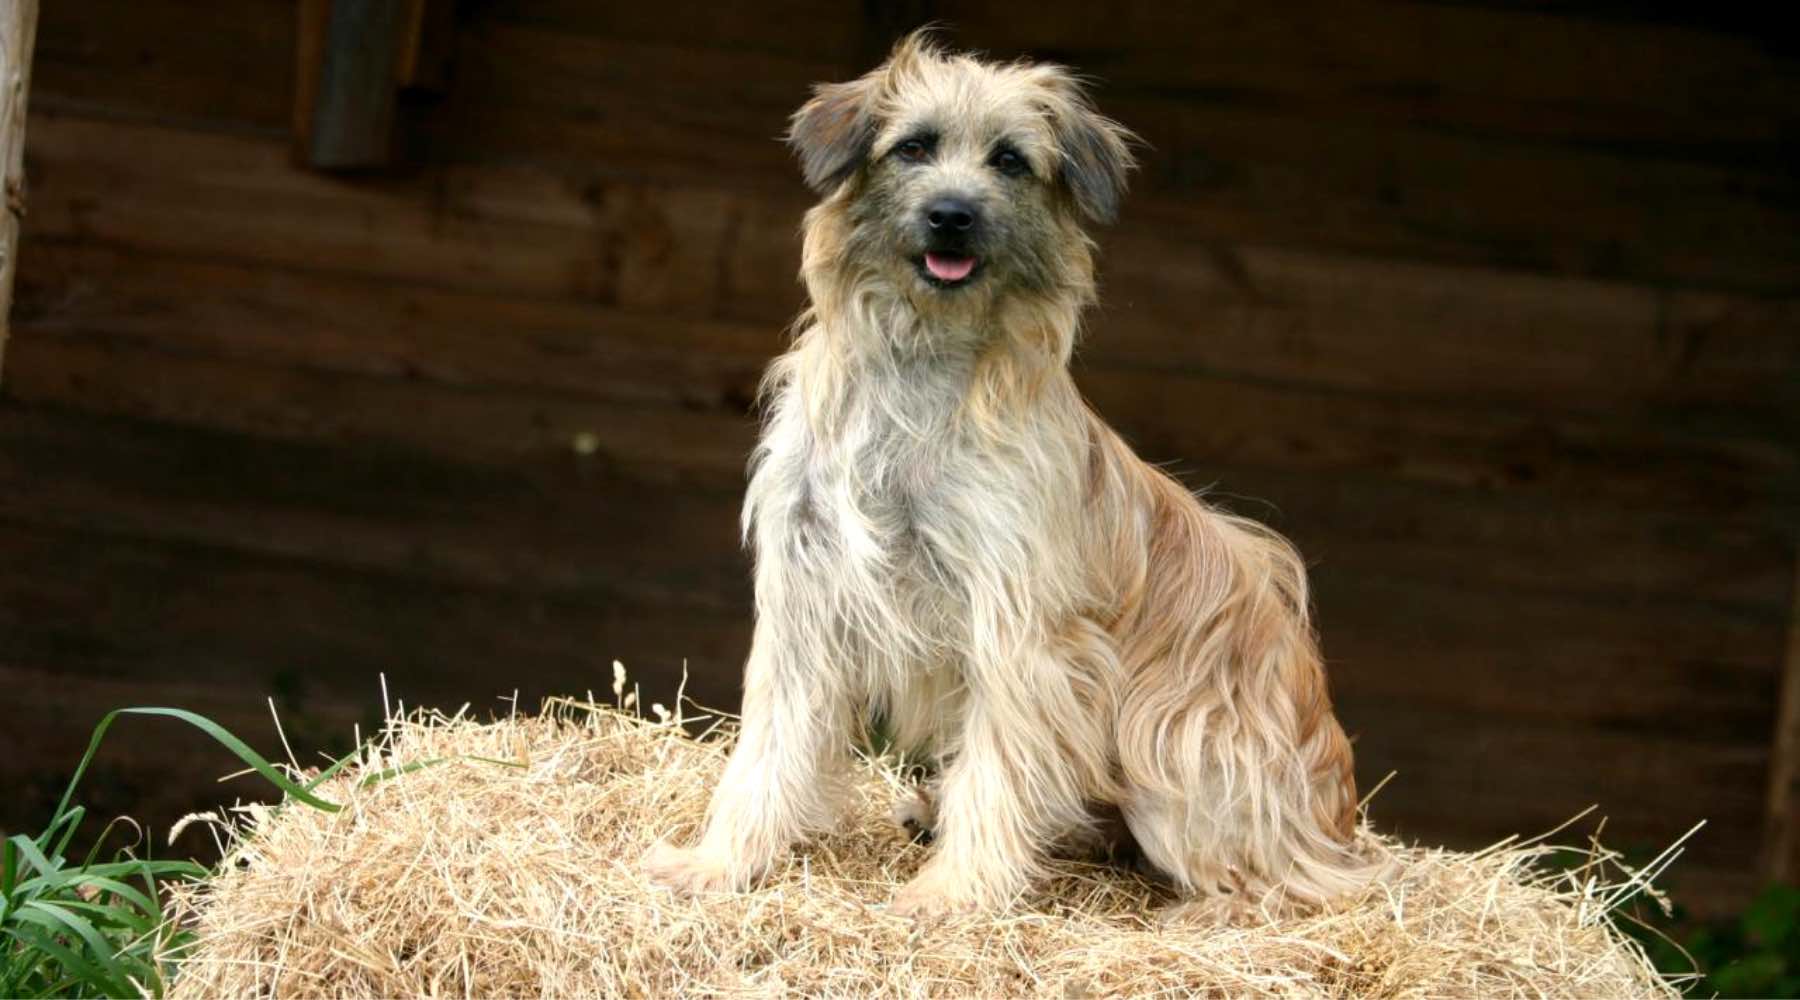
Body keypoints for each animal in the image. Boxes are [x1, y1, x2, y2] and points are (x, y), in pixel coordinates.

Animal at [651, 33, 1375, 920]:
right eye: (913, 147)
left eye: (1010, 161)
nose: (952, 215)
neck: (921, 364)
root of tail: (1338, 821)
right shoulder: (806, 596)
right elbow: (768, 746)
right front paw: (720, 862)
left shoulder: (1021, 626)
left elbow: (999, 767)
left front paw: (954, 892)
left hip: (1174, 739)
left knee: (1293, 882)